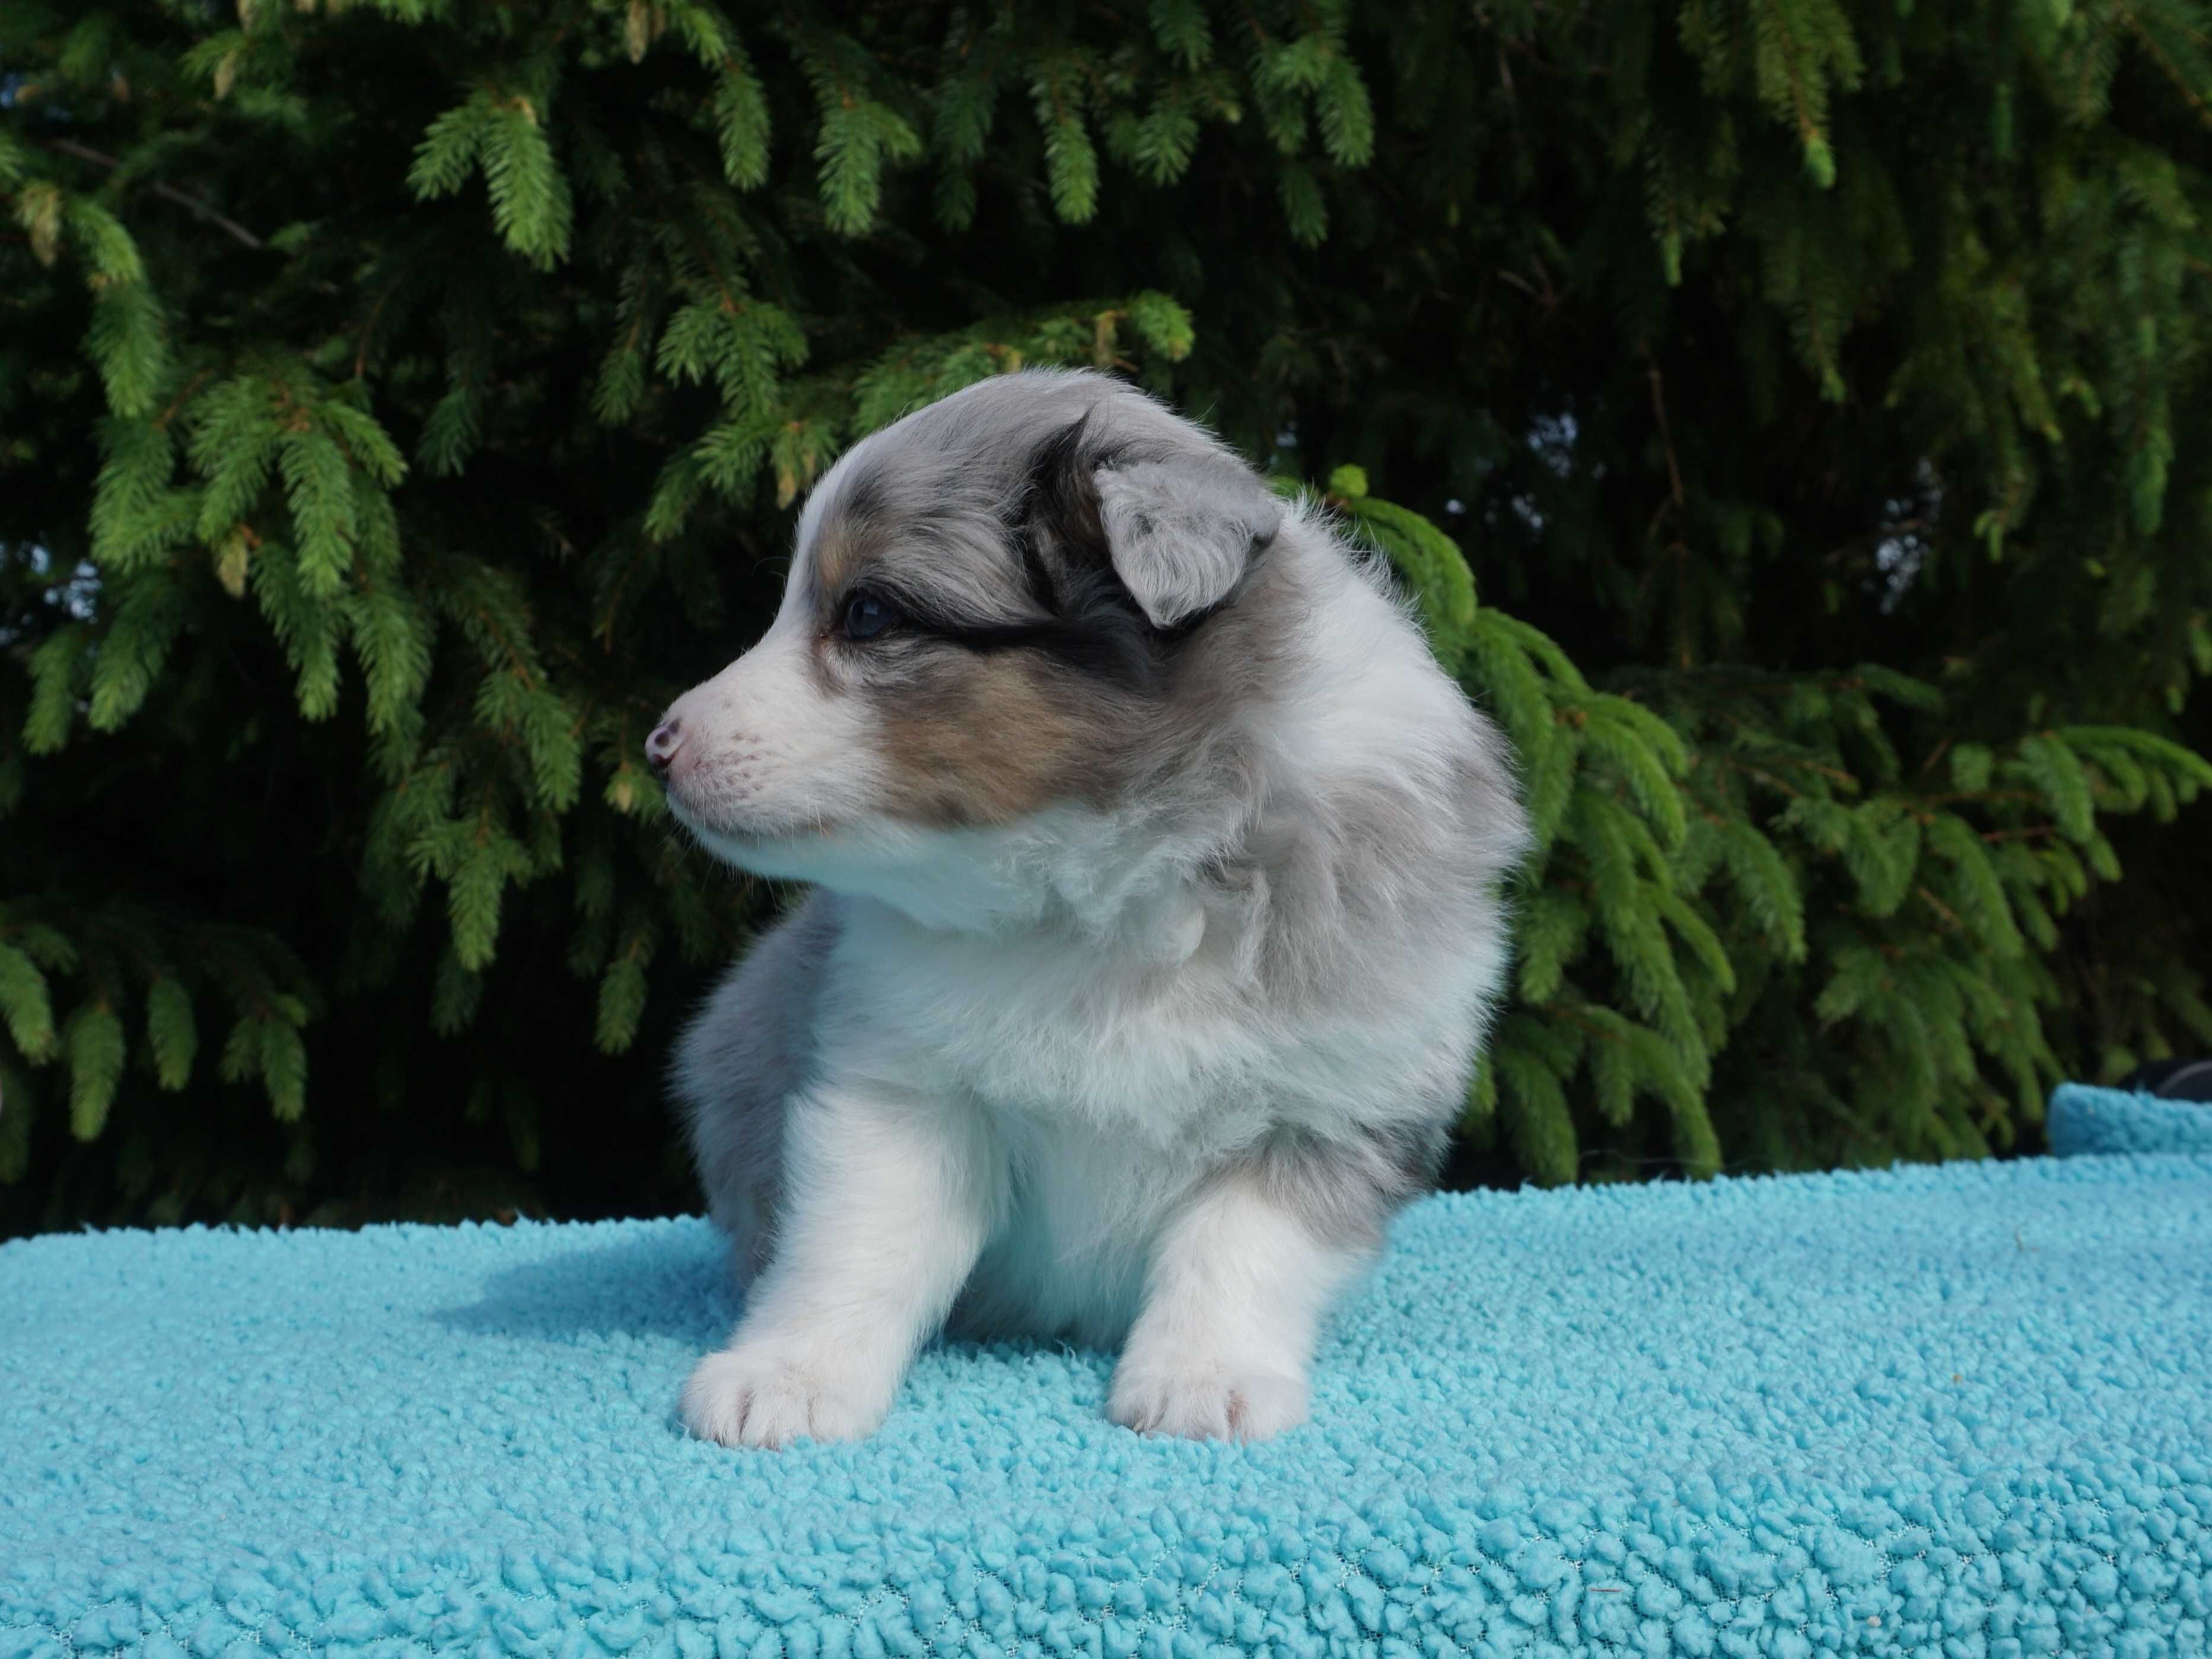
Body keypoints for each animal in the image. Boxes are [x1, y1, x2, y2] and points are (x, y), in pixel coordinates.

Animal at [645, 369, 1530, 1451]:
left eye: (867, 614)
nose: (655, 746)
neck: (1107, 889)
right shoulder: (902, 1083)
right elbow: (855, 1242)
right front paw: (785, 1376)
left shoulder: (1336, 1097)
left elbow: (1239, 1247)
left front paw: (1204, 1380)